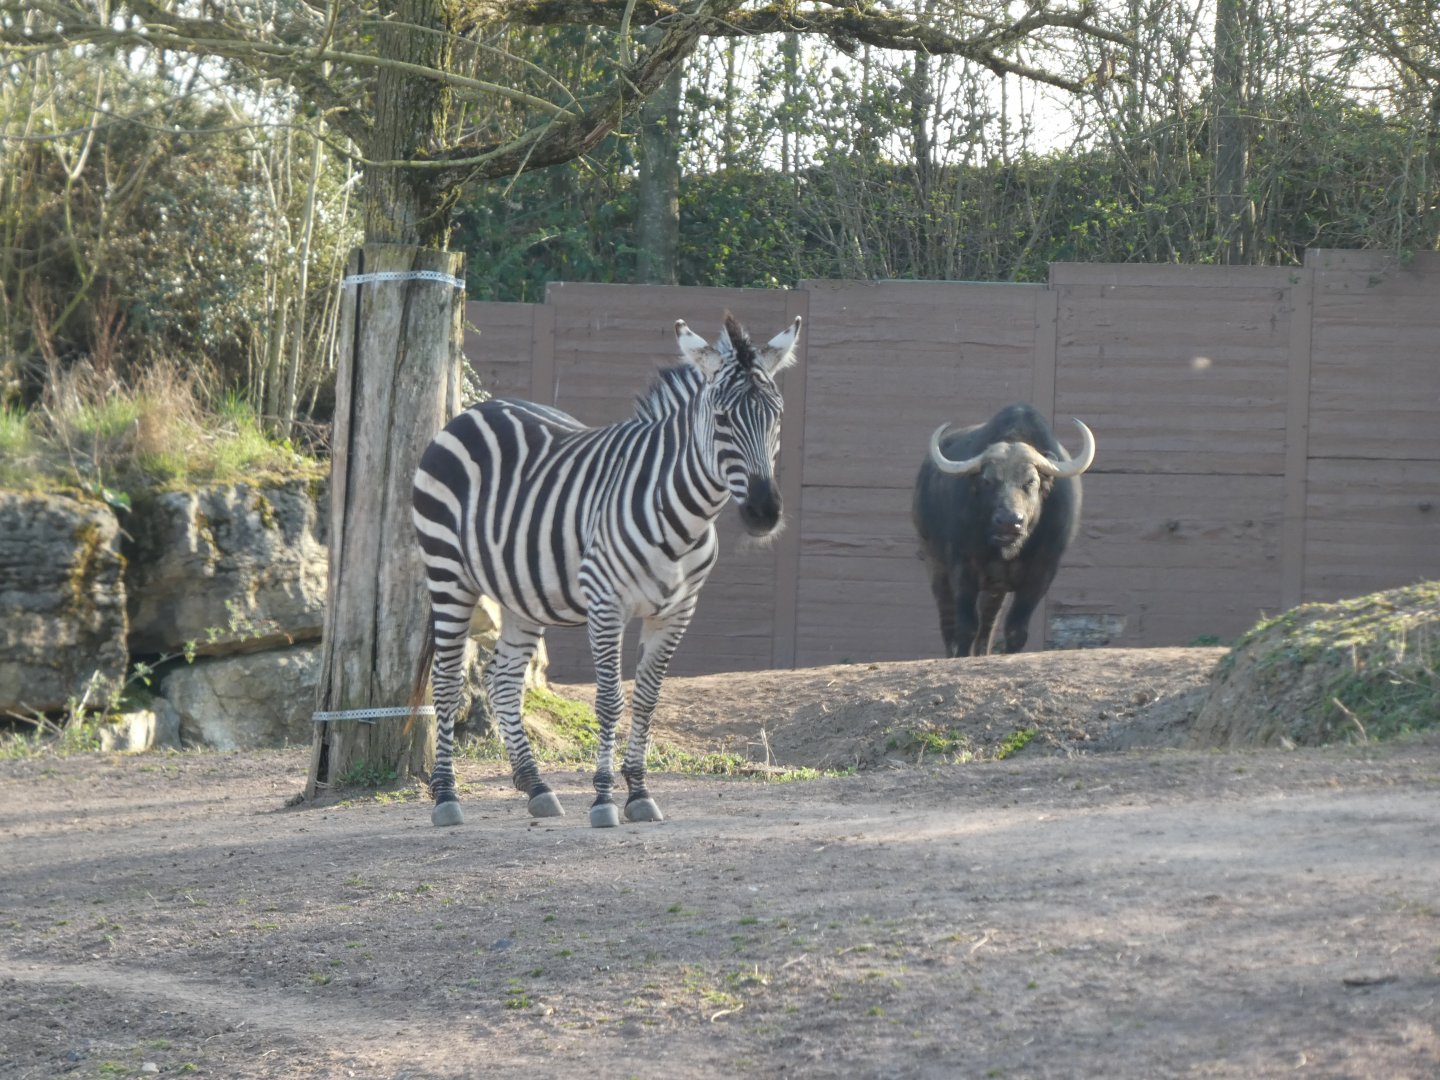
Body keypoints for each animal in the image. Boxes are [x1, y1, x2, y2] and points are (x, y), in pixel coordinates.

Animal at [410, 312, 802, 828]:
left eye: (777, 415)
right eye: (721, 419)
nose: (764, 512)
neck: (684, 517)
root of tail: (473, 413)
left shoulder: (677, 612)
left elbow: (647, 698)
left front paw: (638, 793)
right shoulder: (606, 604)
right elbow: (610, 700)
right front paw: (602, 800)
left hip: (521, 592)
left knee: (504, 681)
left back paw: (536, 786)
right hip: (448, 574)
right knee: (449, 681)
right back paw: (446, 797)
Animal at [912, 402, 1096, 657]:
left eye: (1030, 481)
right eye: (988, 481)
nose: (1009, 521)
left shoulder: (1042, 573)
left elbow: (1015, 629)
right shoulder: (963, 567)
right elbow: (966, 626)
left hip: (994, 588)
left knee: (988, 623)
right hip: (935, 563)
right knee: (949, 621)